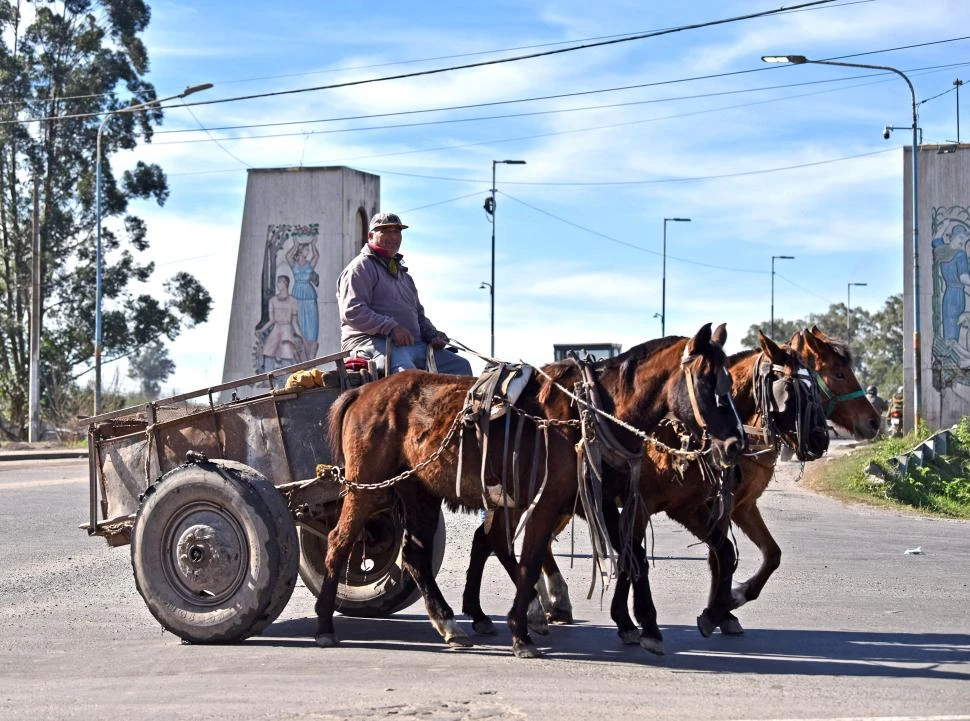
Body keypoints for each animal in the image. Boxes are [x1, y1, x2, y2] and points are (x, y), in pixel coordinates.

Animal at [314, 323, 746, 658]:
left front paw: (642, 627)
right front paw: (522, 631)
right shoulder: (550, 501)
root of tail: (362, 392)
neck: (591, 412)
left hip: (418, 491)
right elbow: (531, 559)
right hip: (367, 488)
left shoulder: (600, 500)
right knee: (339, 541)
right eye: (707, 382)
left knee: (418, 556)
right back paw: (324, 625)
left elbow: (631, 556)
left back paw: (452, 623)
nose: (735, 445)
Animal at [461, 330, 832, 653]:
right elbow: (636, 557)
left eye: (816, 387)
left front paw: (719, 610)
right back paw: (536, 607)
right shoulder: (642, 505)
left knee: (491, 538)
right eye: (792, 388)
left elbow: (736, 553)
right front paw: (645, 623)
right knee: (502, 539)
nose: (820, 439)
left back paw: (510, 608)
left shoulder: (699, 506)